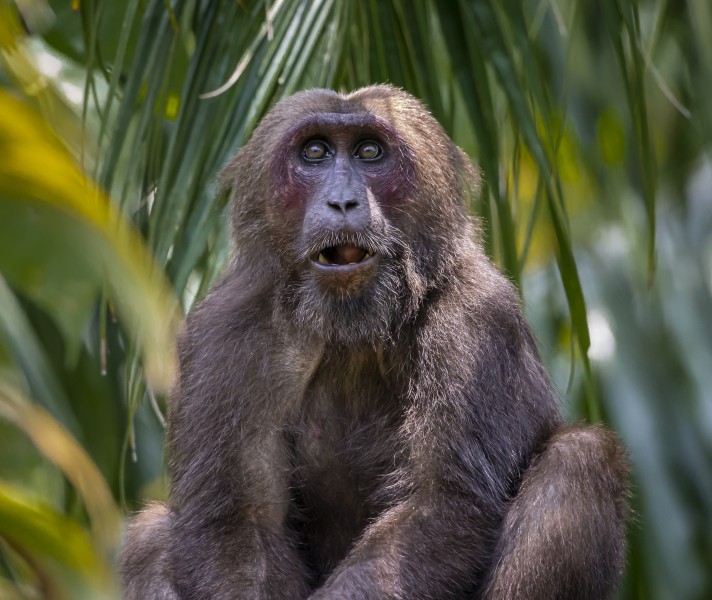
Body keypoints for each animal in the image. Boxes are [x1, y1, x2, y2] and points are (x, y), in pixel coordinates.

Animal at [121, 85, 628, 600]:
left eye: (369, 152)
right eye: (316, 152)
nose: (343, 201)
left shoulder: (477, 319)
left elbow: (440, 504)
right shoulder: (226, 335)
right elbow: (240, 524)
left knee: (578, 460)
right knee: (151, 535)